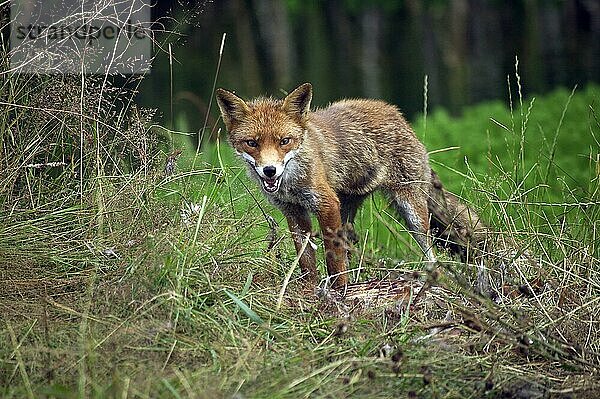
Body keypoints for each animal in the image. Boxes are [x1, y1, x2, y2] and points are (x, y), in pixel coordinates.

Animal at [216, 83, 482, 288]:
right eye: (251, 143)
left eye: (284, 141)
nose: (269, 170)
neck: (291, 182)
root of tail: (396, 113)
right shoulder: (294, 212)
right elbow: (307, 261)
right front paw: (310, 290)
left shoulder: (326, 203)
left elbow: (333, 260)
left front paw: (338, 292)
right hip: (347, 211)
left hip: (412, 211)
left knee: (431, 254)